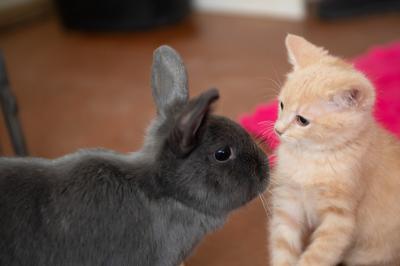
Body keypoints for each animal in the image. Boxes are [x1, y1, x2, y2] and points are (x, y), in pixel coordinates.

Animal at [268, 34, 400, 264]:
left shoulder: (339, 221)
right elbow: (283, 246)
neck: (310, 158)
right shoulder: (289, 203)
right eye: (281, 105)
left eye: (302, 120)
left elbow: (316, 257)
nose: (278, 130)